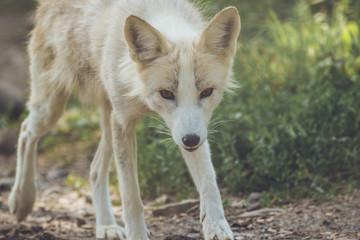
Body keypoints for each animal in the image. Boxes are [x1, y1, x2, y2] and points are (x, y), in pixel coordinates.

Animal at [8, 0, 240, 239]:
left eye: (207, 92)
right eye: (166, 94)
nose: (191, 140)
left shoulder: (191, 129)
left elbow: (209, 181)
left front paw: (216, 227)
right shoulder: (124, 122)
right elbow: (131, 197)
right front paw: (137, 234)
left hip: (107, 122)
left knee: (94, 170)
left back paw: (106, 226)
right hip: (53, 110)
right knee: (26, 131)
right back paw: (21, 201)